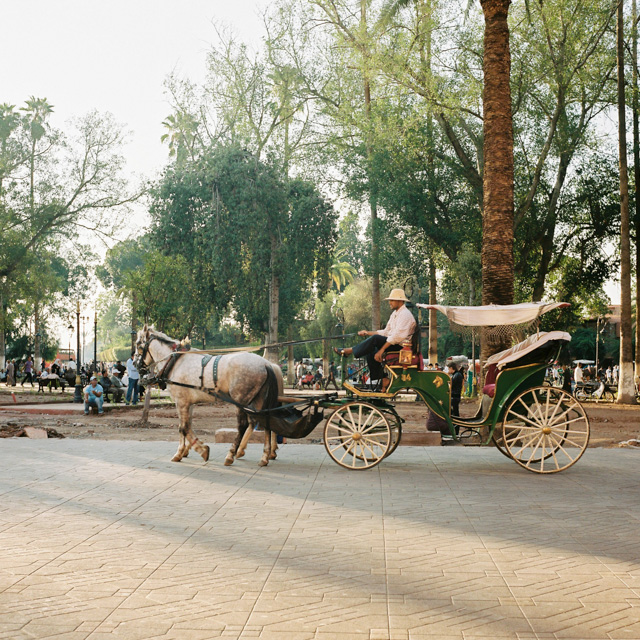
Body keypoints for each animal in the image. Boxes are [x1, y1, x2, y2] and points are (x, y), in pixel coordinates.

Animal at [134, 330, 282, 464]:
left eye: (138, 344)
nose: (135, 363)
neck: (174, 362)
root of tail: (266, 364)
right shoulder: (188, 403)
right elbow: (186, 426)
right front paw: (183, 451)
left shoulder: (181, 402)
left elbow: (183, 428)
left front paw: (201, 450)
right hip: (258, 400)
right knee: (265, 421)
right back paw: (264, 456)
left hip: (241, 400)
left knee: (243, 425)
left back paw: (231, 454)